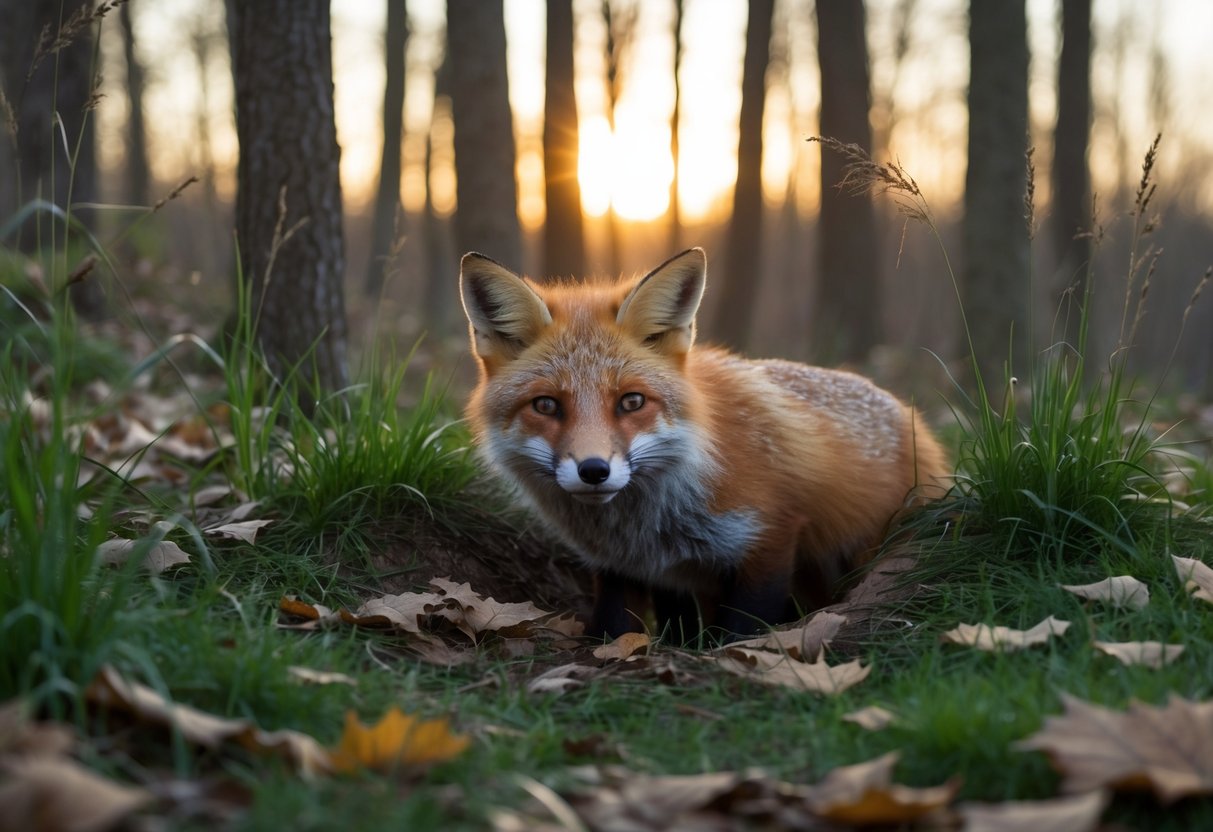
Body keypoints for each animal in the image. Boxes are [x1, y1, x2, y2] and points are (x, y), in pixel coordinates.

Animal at [459, 247, 950, 642]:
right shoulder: (630, 568)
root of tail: (905, 412)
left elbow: (740, 630)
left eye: (631, 401)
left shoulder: (768, 537)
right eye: (546, 405)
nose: (594, 470)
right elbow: (619, 628)